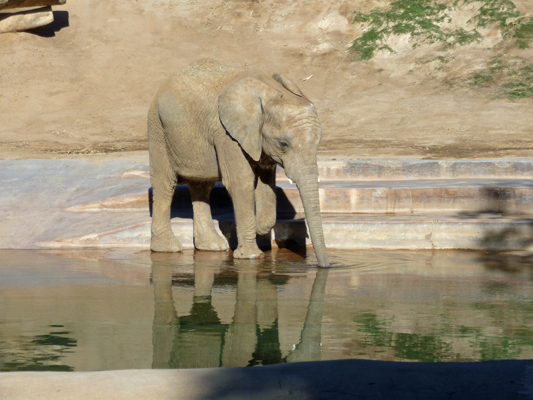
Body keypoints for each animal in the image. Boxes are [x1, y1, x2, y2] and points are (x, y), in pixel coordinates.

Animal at [147, 57, 328, 268]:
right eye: (283, 144)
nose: (323, 267)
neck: (270, 92)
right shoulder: (226, 134)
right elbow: (241, 181)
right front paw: (251, 256)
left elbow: (266, 182)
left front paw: (259, 228)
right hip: (158, 128)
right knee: (165, 184)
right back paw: (167, 248)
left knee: (201, 186)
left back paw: (212, 246)